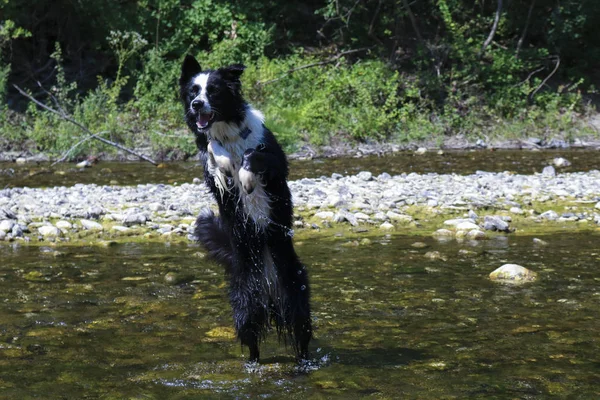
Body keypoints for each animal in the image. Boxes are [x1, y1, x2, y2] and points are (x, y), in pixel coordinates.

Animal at [179, 54, 312, 360]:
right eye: (193, 91)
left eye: (213, 90)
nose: (197, 105)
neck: (227, 132)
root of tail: (269, 289)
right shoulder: (210, 166)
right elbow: (213, 149)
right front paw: (226, 163)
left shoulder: (275, 164)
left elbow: (253, 154)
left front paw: (246, 175)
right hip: (244, 306)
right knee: (252, 345)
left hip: (296, 294)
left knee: (302, 338)